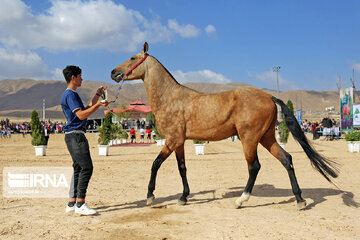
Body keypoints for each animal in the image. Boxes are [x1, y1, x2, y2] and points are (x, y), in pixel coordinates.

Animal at [109, 42, 338, 209]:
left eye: (132, 58)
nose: (113, 72)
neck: (171, 98)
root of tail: (269, 97)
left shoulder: (172, 140)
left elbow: (155, 164)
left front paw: (150, 196)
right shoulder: (179, 142)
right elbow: (182, 168)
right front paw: (183, 197)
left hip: (249, 139)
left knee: (254, 166)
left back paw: (241, 200)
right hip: (267, 137)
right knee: (287, 159)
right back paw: (300, 200)